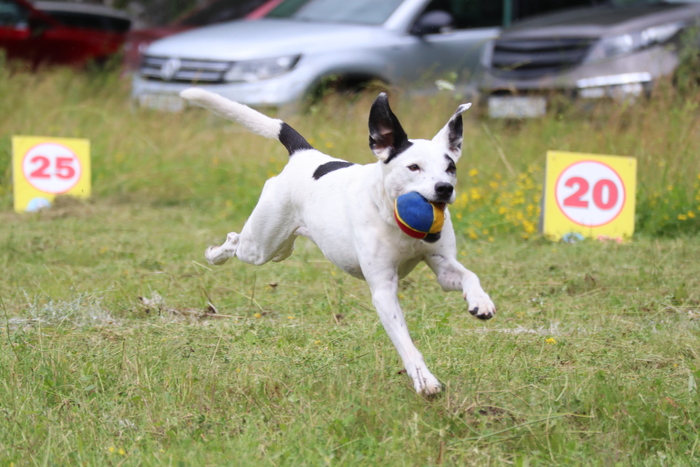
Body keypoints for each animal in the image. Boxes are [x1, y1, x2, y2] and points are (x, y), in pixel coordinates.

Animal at [180, 88, 496, 395]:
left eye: (450, 167)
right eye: (414, 167)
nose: (444, 188)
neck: (390, 214)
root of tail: (305, 154)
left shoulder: (442, 265)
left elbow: (469, 275)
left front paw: (480, 301)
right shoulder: (383, 290)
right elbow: (405, 342)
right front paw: (424, 379)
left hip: (280, 246)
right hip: (259, 246)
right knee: (236, 241)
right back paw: (214, 254)